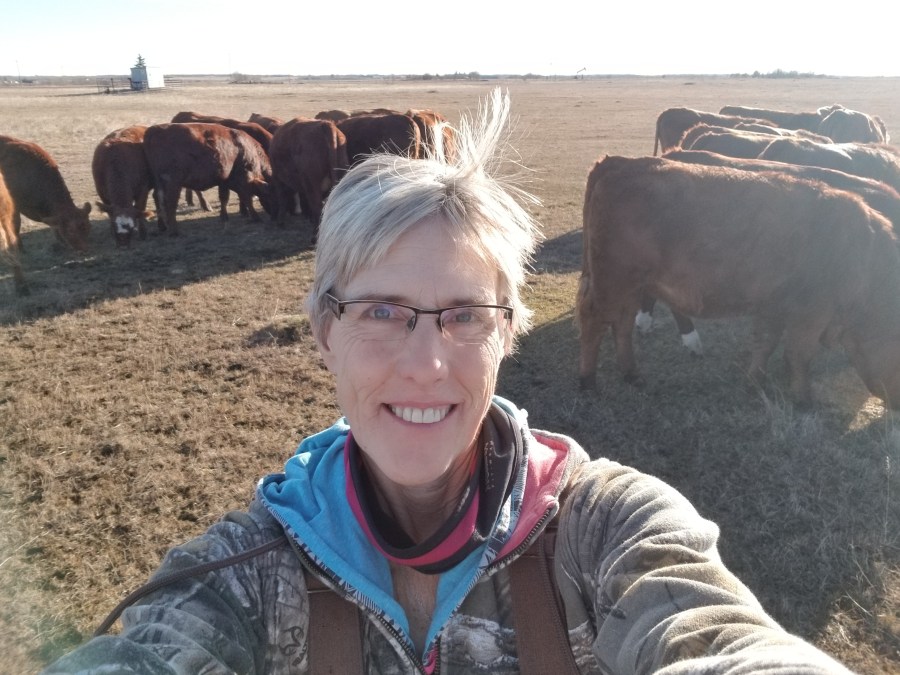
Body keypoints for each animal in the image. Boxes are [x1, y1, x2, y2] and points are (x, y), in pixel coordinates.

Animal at [143, 123, 275, 235]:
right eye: (273, 194)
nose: (273, 214)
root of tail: (153, 131)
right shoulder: (245, 179)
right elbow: (247, 198)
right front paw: (256, 217)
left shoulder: (224, 181)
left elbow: (224, 198)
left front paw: (224, 217)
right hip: (173, 183)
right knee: (170, 202)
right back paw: (174, 231)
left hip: (159, 183)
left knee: (157, 199)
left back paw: (162, 226)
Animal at [577, 155, 900, 409]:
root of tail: (619, 163)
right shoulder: (812, 313)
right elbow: (799, 354)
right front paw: (804, 400)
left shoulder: (773, 306)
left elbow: (765, 344)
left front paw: (754, 382)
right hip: (612, 283)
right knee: (595, 322)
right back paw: (588, 382)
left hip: (629, 287)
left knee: (622, 325)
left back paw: (632, 375)